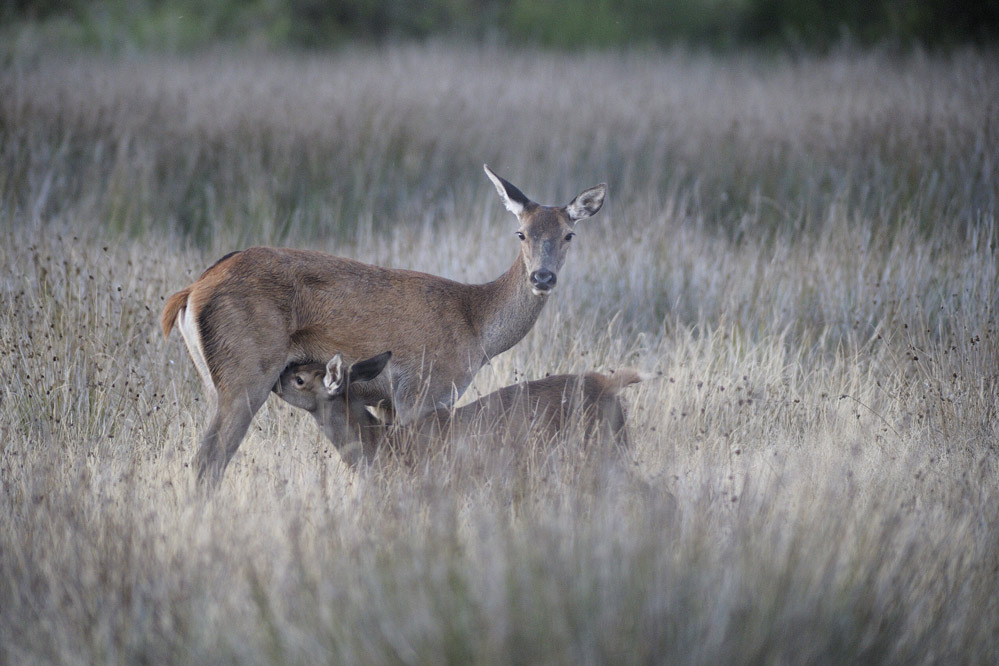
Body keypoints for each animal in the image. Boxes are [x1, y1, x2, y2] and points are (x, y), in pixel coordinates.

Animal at [162, 166, 608, 486]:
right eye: (521, 233)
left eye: (569, 235)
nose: (542, 277)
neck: (476, 328)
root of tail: (189, 292)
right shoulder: (424, 389)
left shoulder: (390, 400)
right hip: (246, 370)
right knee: (209, 460)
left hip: (214, 381)